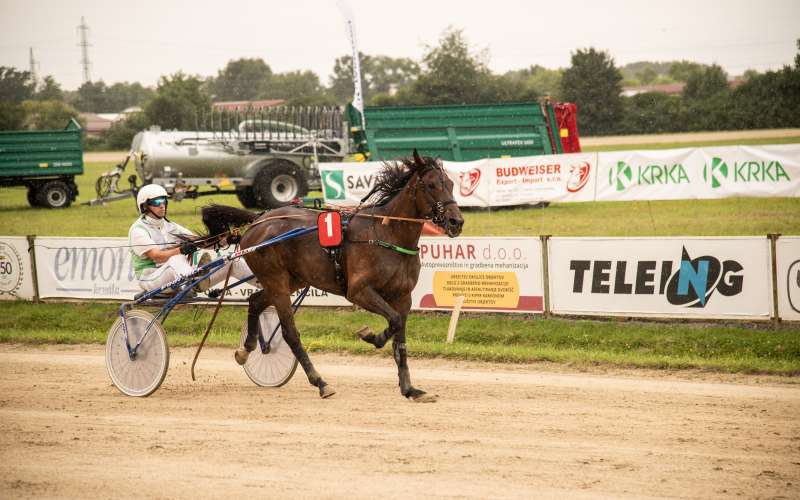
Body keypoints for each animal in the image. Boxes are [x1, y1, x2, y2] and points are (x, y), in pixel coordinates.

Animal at [200, 150, 462, 400]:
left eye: (450, 183)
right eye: (431, 185)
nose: (456, 221)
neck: (387, 234)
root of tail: (259, 220)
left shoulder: (403, 297)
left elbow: (400, 339)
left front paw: (410, 389)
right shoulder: (359, 291)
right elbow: (394, 321)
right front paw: (371, 336)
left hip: (292, 280)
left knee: (255, 301)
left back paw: (246, 350)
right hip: (276, 280)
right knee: (289, 332)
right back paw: (320, 382)